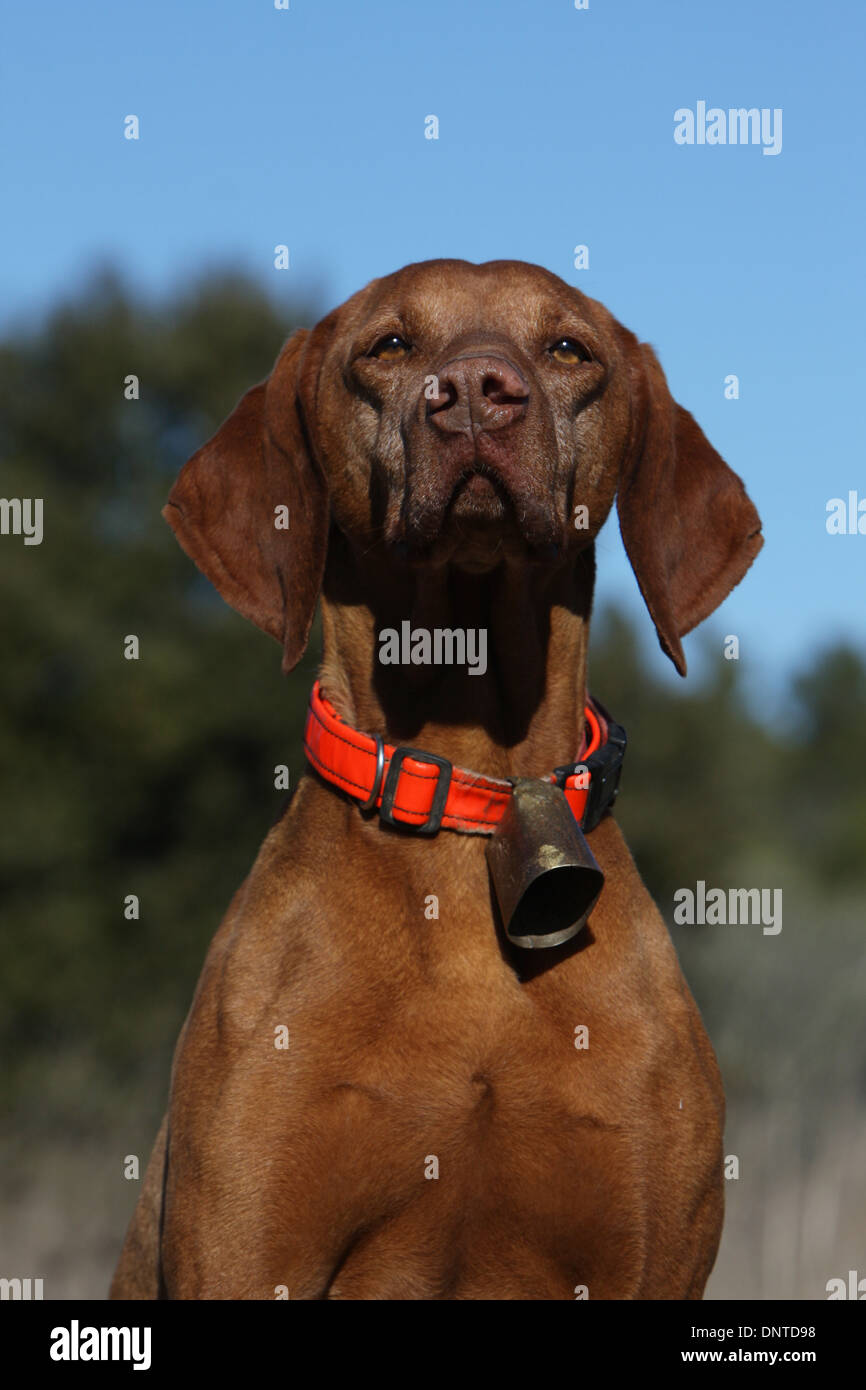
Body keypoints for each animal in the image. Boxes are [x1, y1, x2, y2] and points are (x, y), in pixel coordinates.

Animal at [109, 255, 767, 1295]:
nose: (474, 394)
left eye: (568, 348)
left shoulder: (650, 1259)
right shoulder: (247, 1251)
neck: (474, 786)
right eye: (388, 345)